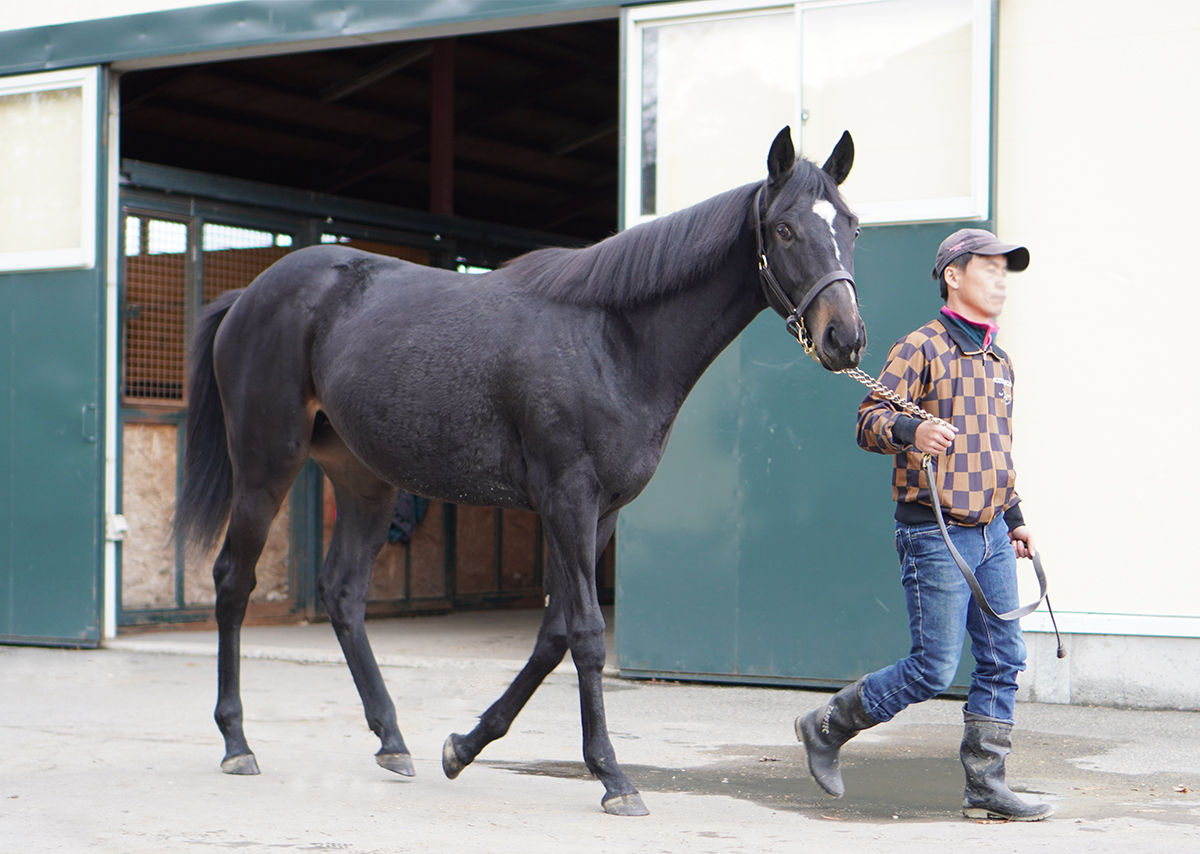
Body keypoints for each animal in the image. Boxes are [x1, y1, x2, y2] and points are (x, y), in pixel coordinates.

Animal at [174, 126, 865, 816]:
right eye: (784, 230)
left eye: (851, 226)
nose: (846, 338)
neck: (611, 338)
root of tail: (249, 296)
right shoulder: (567, 500)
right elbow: (586, 633)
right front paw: (613, 777)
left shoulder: (600, 512)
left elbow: (554, 635)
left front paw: (464, 746)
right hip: (265, 465)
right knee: (233, 581)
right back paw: (237, 743)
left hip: (364, 480)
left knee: (343, 592)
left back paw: (392, 741)